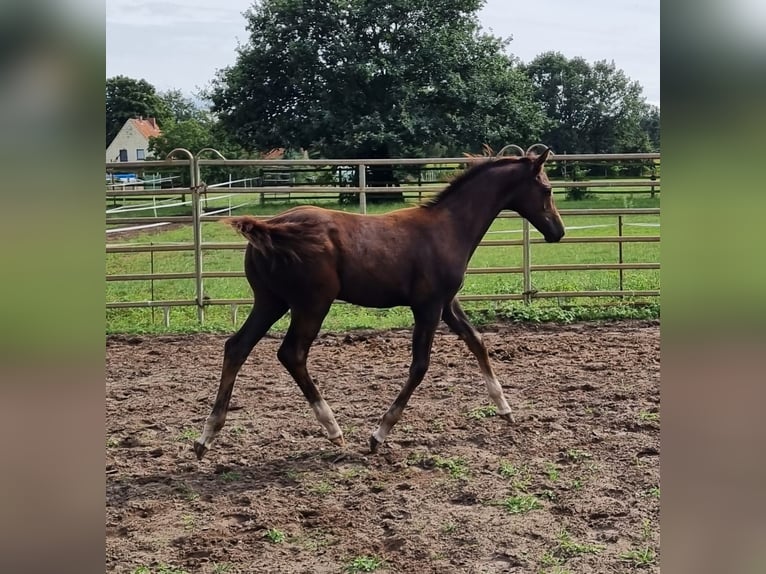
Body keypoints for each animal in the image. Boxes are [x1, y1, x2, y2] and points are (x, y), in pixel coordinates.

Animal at [192, 151, 564, 462]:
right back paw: (333, 430)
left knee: (237, 347)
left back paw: (205, 437)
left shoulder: (446, 303)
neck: (448, 228)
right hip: (312, 304)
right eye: (546, 189)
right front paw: (378, 435)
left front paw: (505, 409)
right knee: (291, 354)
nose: (557, 231)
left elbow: (477, 341)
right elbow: (420, 366)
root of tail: (274, 226)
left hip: (270, 301)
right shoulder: (427, 307)